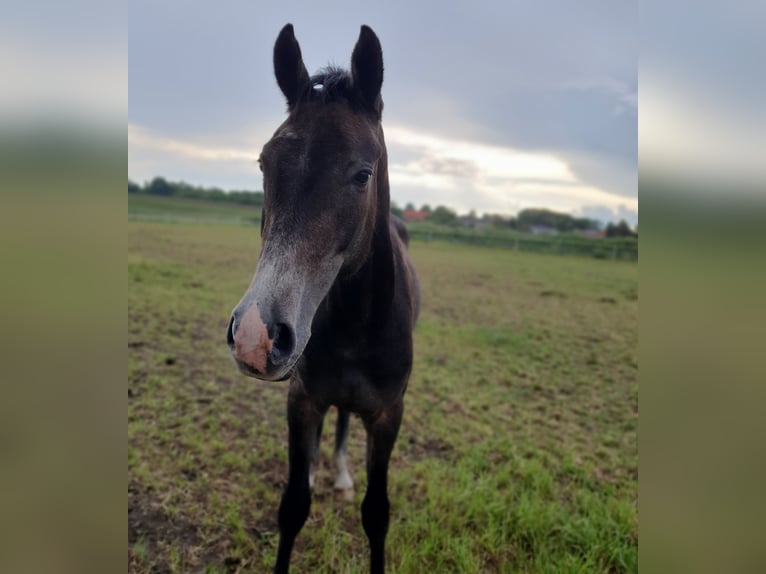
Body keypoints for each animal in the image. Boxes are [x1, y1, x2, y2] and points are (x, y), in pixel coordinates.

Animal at [226, 23, 420, 574]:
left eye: (363, 174)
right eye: (264, 163)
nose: (256, 336)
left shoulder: (388, 415)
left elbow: (376, 514)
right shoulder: (303, 401)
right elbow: (293, 506)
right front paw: (308, 479)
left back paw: (341, 474)